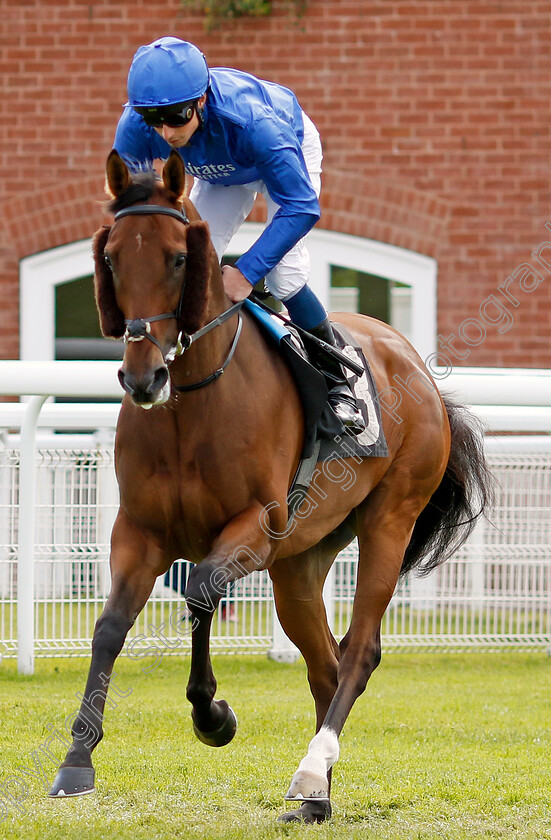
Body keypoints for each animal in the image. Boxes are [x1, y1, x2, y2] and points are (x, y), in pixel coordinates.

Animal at [50, 149, 492, 820]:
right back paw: (316, 794)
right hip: (301, 561)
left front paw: (213, 715)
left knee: (360, 650)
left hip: (389, 520)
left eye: (178, 259)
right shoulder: (139, 532)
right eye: (113, 259)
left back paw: (310, 771)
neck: (191, 404)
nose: (143, 376)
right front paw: (77, 761)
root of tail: (416, 364)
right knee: (325, 663)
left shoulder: (257, 526)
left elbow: (200, 589)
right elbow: (108, 629)